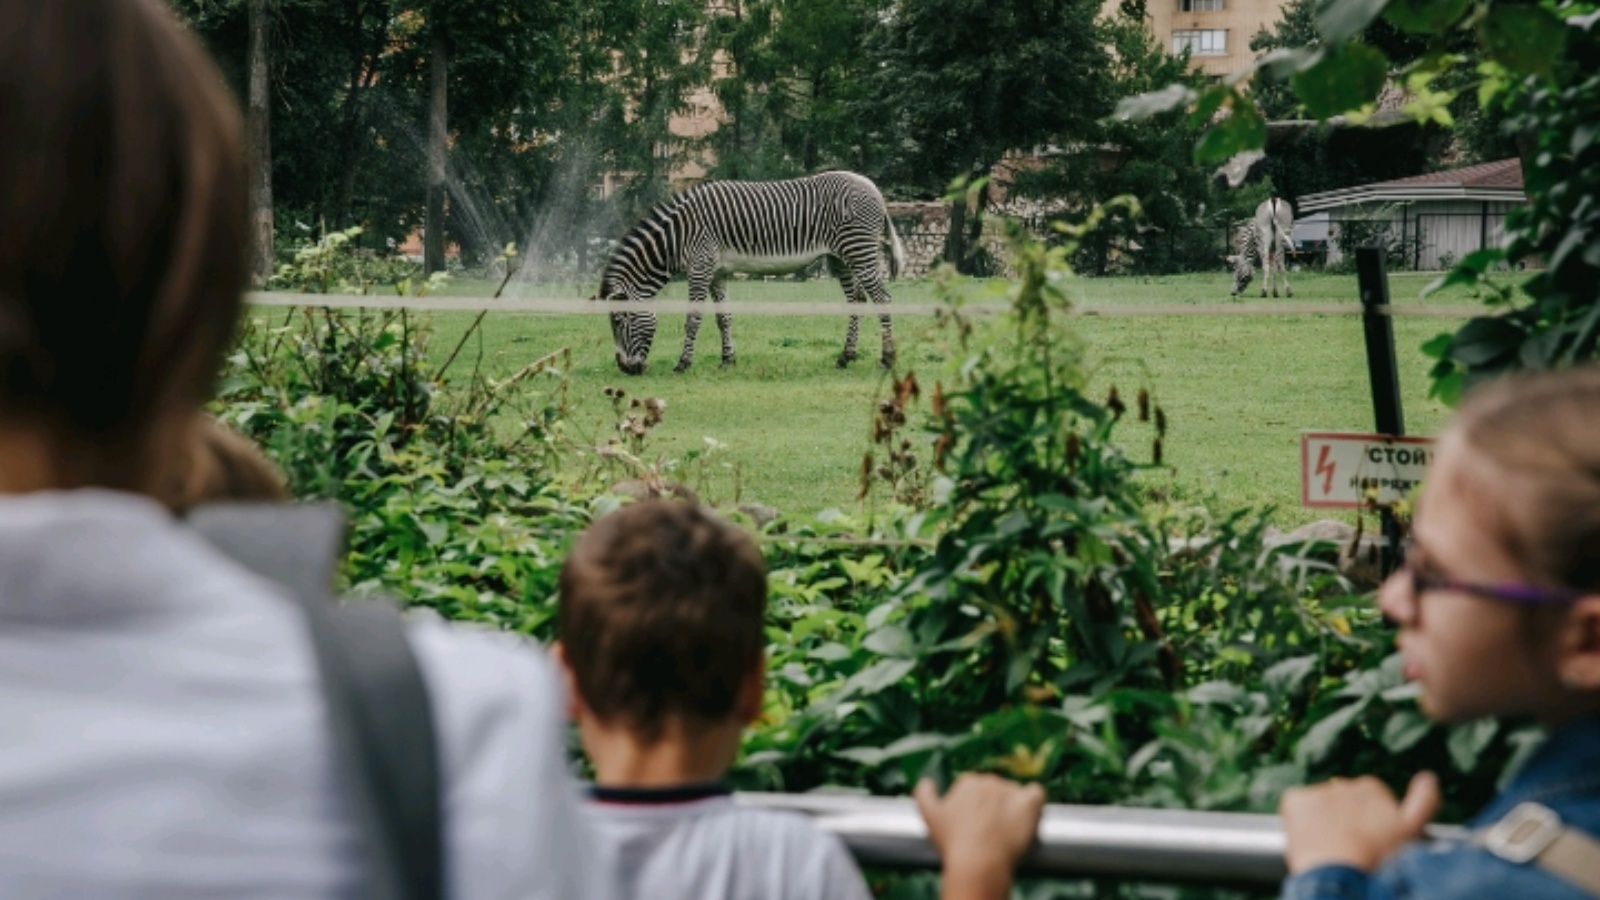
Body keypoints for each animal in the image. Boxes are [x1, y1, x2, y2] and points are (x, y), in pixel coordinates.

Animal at [595, 171, 908, 371]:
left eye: (620, 320)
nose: (624, 369)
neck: (678, 235)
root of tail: (874, 189)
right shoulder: (716, 271)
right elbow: (723, 318)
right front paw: (727, 360)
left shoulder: (700, 266)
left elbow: (693, 319)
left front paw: (683, 363)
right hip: (840, 258)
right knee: (858, 300)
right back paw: (846, 356)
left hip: (858, 250)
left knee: (883, 299)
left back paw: (887, 358)